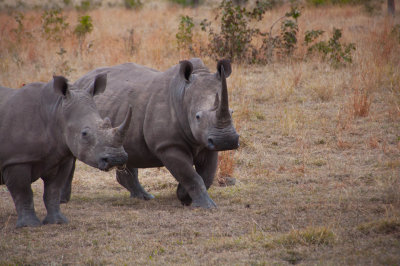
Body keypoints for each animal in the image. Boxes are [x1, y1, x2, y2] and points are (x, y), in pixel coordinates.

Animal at [0, 74, 132, 228]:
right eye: (84, 134)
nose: (118, 158)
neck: (55, 112)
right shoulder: (16, 160)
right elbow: (23, 192)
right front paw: (29, 225)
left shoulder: (62, 158)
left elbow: (53, 190)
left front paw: (57, 221)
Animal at [62, 58, 238, 208]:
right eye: (198, 117)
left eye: (232, 112)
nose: (226, 140)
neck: (183, 96)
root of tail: (80, 79)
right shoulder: (168, 145)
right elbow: (191, 175)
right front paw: (205, 205)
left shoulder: (207, 142)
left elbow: (207, 175)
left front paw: (183, 196)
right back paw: (63, 201)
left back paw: (145, 197)